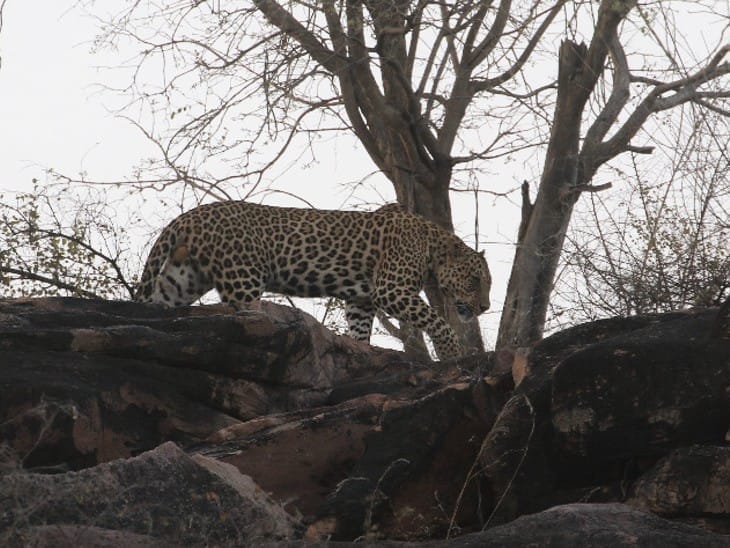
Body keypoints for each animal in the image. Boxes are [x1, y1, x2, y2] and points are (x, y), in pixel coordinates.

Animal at [134, 201, 491, 359]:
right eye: (475, 281)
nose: (485, 307)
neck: (433, 246)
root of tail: (190, 215)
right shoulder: (392, 289)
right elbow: (437, 321)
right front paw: (451, 352)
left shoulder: (361, 301)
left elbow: (360, 331)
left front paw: (360, 352)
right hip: (243, 278)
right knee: (248, 313)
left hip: (184, 277)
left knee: (159, 299)